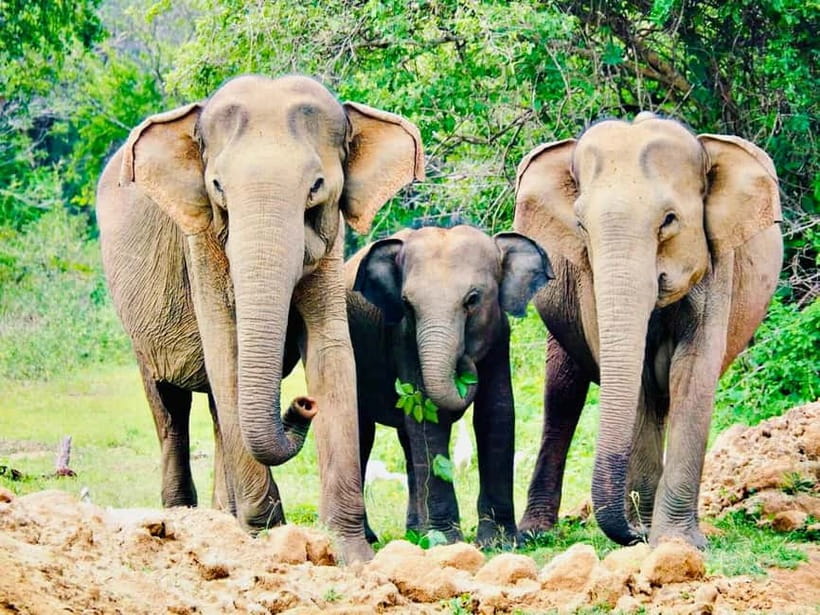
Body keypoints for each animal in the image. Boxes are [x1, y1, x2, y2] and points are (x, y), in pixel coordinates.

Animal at [95, 74, 425, 563]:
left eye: (317, 186)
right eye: (217, 187)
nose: (302, 404)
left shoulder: (331, 243)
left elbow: (331, 351)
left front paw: (352, 554)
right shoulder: (201, 243)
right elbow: (225, 348)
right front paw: (267, 537)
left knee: (216, 410)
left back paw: (223, 518)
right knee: (170, 406)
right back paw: (182, 518)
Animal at [345, 225, 552, 545]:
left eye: (473, 299)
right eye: (406, 304)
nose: (465, 361)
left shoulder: (499, 334)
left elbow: (497, 412)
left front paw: (500, 542)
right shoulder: (404, 338)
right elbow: (427, 415)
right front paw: (446, 541)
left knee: (407, 443)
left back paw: (415, 532)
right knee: (363, 433)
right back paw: (374, 538)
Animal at [513, 112, 782, 548]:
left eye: (669, 220)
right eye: (580, 224)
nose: (635, 533)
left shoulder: (718, 264)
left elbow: (692, 371)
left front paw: (676, 542)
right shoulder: (588, 279)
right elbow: (635, 379)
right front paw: (652, 534)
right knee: (563, 394)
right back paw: (537, 533)